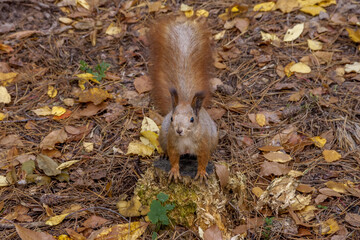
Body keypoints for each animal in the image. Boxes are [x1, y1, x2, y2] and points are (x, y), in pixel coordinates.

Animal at [148, 16, 218, 182]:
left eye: (192, 119)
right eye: (172, 119)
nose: (179, 130)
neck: (186, 139)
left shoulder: (203, 145)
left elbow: (203, 159)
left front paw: (201, 172)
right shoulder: (173, 144)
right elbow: (174, 159)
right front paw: (174, 171)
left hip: (213, 137)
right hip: (163, 136)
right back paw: (164, 154)